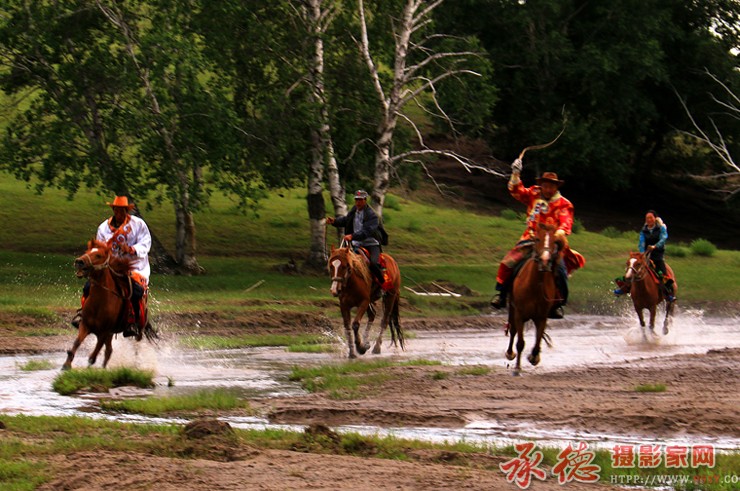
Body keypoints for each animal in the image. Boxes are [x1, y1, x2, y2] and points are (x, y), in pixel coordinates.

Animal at [62, 240, 158, 370]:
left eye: (98, 255)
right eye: (87, 251)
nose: (79, 262)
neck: (99, 304)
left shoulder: (105, 331)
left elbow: (95, 353)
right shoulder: (85, 325)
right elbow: (77, 343)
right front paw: (67, 364)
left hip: (138, 331)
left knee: (135, 347)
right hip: (111, 334)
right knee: (109, 350)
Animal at [506, 223, 556, 376]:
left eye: (554, 241)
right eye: (538, 239)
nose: (545, 261)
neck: (535, 286)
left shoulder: (542, 317)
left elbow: (538, 340)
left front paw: (534, 357)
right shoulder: (519, 314)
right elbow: (520, 342)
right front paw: (517, 368)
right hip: (513, 310)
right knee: (513, 331)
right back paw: (510, 353)